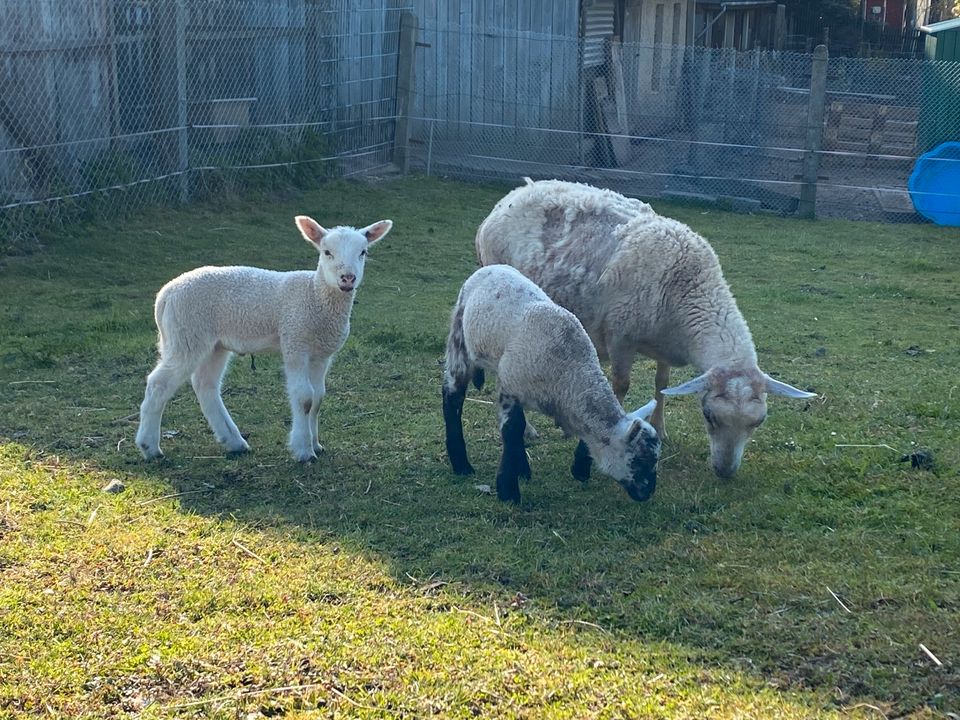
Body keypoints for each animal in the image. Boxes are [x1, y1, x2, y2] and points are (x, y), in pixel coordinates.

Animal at [133, 214, 392, 462]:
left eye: (363, 252)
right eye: (327, 252)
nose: (347, 278)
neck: (315, 294)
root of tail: (166, 294)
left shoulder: (321, 353)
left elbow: (318, 399)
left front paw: (316, 443)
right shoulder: (295, 341)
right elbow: (304, 398)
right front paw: (304, 451)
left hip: (212, 342)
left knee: (206, 385)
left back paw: (234, 441)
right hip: (185, 334)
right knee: (158, 384)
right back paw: (150, 447)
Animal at [442, 262, 660, 504]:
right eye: (639, 460)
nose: (649, 492)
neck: (569, 374)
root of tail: (490, 267)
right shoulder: (510, 389)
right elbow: (512, 430)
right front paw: (508, 490)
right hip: (459, 340)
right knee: (452, 397)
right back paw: (461, 464)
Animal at [476, 178, 812, 478]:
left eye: (758, 422)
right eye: (708, 416)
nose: (725, 472)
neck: (688, 286)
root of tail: (508, 199)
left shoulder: (665, 345)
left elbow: (661, 383)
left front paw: (661, 430)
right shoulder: (621, 337)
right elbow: (621, 386)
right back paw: (527, 429)